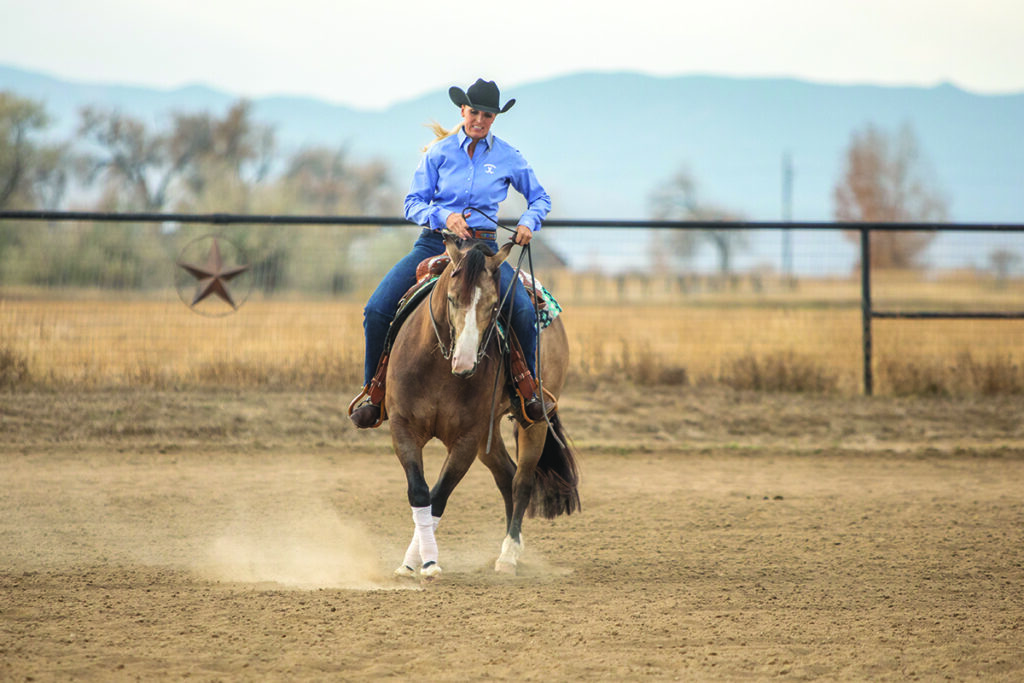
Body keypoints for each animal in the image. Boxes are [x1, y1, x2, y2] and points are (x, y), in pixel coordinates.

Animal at [385, 233, 581, 577]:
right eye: (452, 299)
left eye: (493, 305)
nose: (464, 363)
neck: (438, 369)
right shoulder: (402, 428)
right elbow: (420, 491)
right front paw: (410, 563)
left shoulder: (466, 438)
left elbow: (439, 495)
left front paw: (429, 561)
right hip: (488, 435)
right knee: (506, 475)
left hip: (533, 423)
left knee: (522, 480)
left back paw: (509, 555)